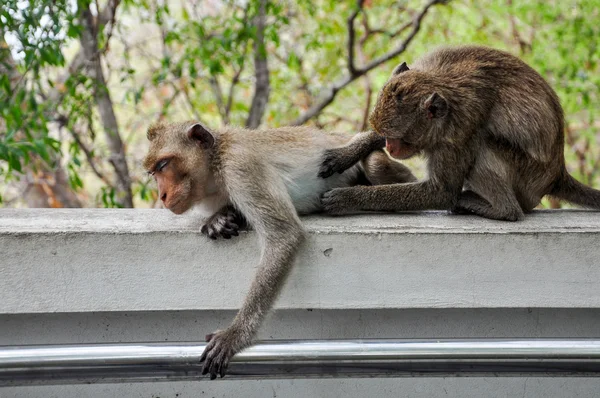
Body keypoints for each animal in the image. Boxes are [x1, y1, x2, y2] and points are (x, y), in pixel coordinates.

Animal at [142, 122, 414, 380]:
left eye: (164, 164)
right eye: (153, 172)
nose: (162, 195)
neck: (214, 167)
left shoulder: (239, 166)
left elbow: (284, 235)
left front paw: (235, 334)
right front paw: (220, 219)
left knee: (375, 164)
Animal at [322, 45, 600, 221]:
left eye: (399, 137)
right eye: (386, 134)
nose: (390, 147)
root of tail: (557, 172)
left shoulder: (461, 129)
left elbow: (442, 192)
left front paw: (350, 198)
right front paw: (347, 153)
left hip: (528, 181)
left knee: (483, 144)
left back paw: (502, 210)